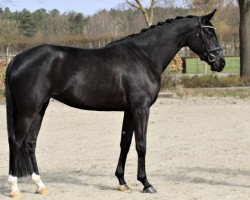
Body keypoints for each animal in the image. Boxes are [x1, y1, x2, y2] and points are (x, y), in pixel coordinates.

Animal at [5, 9, 225, 197]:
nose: (220, 62)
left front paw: (122, 181)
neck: (144, 56)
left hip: (40, 108)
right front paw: (146, 184)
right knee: (16, 141)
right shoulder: (141, 109)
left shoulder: (129, 110)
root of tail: (16, 59)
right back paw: (14, 188)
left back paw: (40, 185)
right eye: (208, 33)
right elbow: (141, 145)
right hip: (28, 110)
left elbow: (125, 143)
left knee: (31, 143)